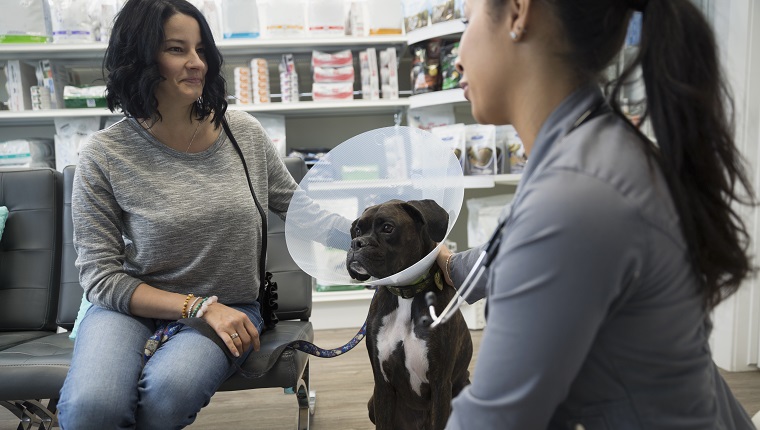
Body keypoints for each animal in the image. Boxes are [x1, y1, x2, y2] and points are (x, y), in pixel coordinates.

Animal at [348, 200, 472, 428]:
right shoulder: (382, 385)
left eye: (388, 228)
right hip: (372, 403)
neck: (405, 293)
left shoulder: (441, 384)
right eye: (358, 230)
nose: (356, 243)